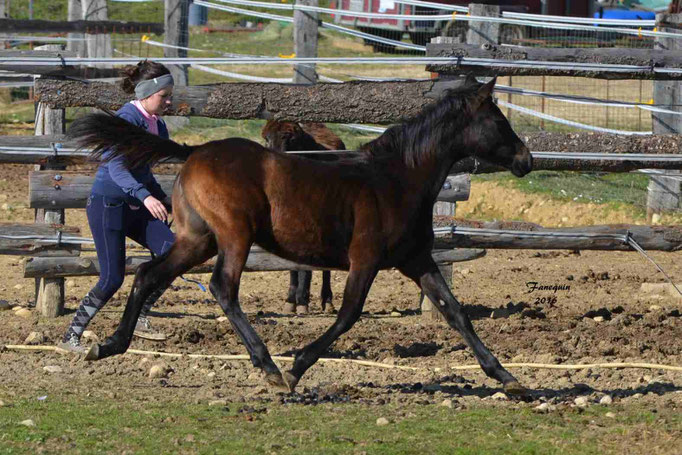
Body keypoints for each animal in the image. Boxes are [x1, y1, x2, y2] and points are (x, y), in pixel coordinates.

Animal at [258, 119, 348, 316]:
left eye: (289, 138)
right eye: (266, 138)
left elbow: (305, 269)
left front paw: (302, 301)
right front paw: (291, 300)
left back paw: (327, 301)